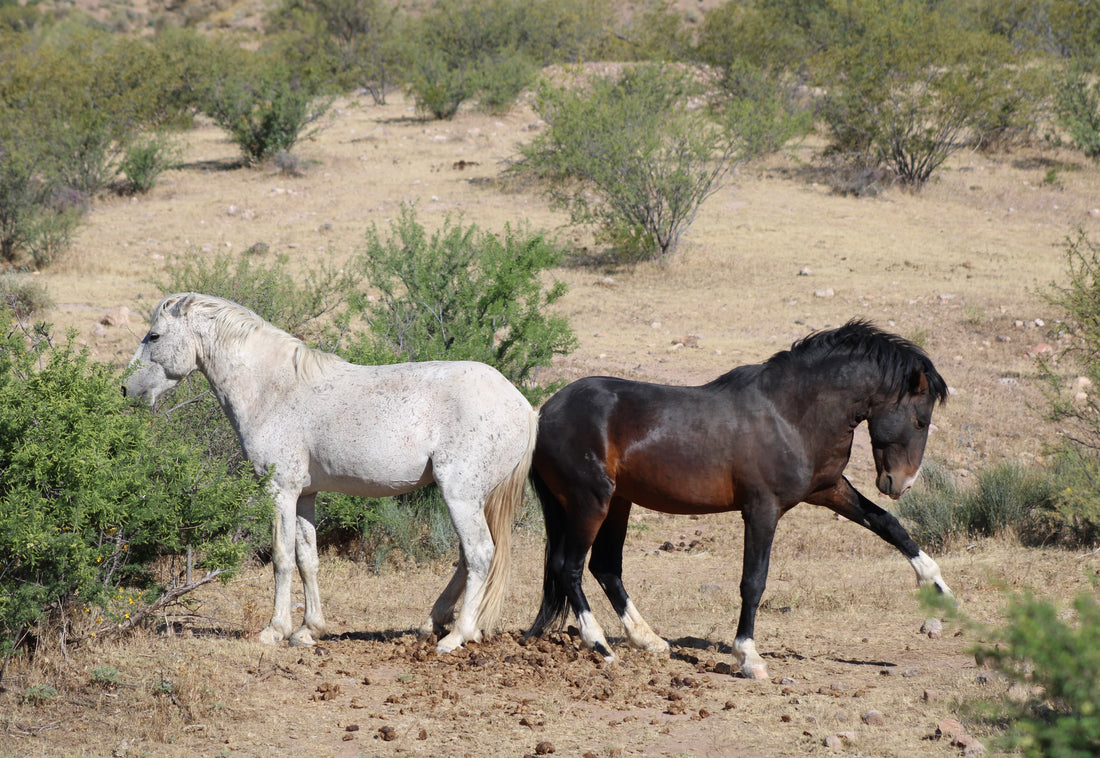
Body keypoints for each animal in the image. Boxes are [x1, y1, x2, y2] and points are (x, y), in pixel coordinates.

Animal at [124, 290, 536, 651]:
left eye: (155, 336)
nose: (126, 390)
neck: (273, 388)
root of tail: (523, 405)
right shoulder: (305, 494)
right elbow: (307, 559)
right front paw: (309, 630)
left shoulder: (280, 490)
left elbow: (281, 558)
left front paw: (275, 630)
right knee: (467, 558)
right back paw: (434, 623)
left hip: (460, 495)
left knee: (479, 554)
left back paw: (457, 636)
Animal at [528, 316, 950, 673]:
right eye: (920, 420)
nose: (900, 484)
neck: (789, 415)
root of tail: (544, 413)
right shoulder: (762, 509)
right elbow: (754, 581)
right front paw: (748, 656)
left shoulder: (827, 489)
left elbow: (888, 524)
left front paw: (939, 588)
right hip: (590, 502)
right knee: (569, 567)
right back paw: (600, 645)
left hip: (617, 502)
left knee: (605, 567)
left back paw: (649, 640)